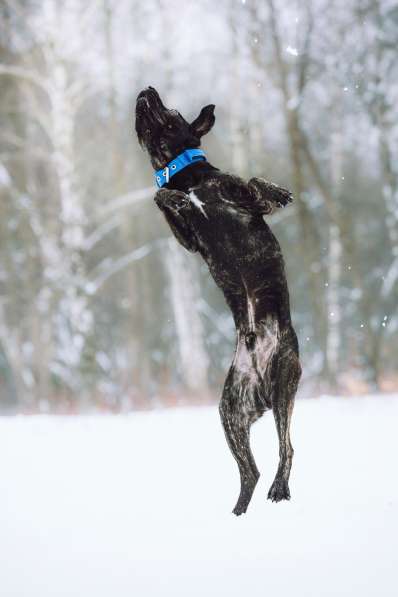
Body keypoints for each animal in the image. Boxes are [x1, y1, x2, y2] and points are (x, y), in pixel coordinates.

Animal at [135, 87, 300, 512]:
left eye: (172, 111)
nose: (147, 90)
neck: (187, 176)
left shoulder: (246, 199)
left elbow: (254, 183)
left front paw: (280, 191)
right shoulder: (188, 241)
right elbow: (160, 195)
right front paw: (173, 198)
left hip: (284, 384)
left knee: (286, 447)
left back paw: (279, 488)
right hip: (230, 412)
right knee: (249, 471)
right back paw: (238, 513)